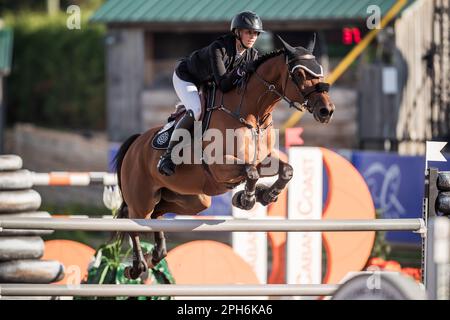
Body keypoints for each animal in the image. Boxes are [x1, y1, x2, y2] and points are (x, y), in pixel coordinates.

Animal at [111, 35, 334, 280]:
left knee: (155, 216)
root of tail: (136, 143)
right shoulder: (219, 166)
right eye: (300, 74)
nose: (326, 111)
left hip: (193, 199)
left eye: (320, 71)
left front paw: (266, 195)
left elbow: (286, 170)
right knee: (134, 221)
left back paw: (155, 255)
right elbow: (250, 172)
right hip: (142, 198)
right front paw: (247, 199)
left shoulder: (262, 160)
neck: (253, 114)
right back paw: (137, 266)